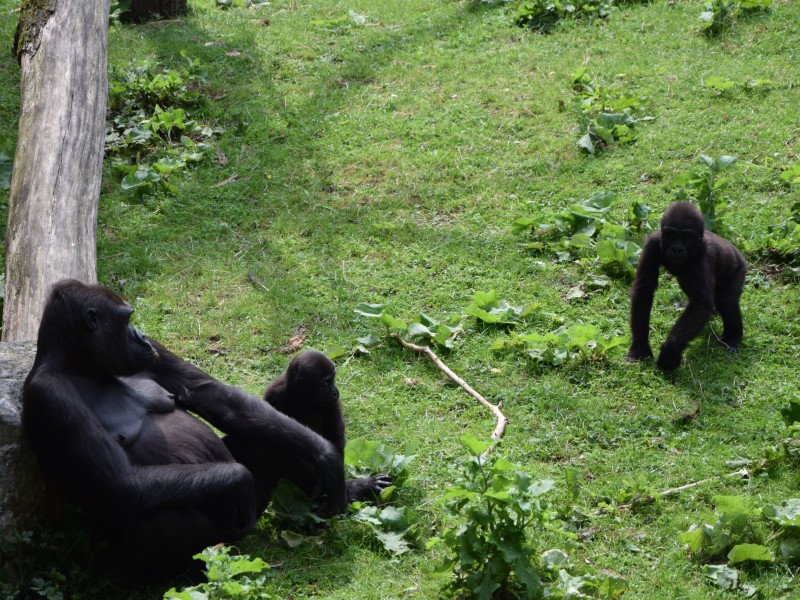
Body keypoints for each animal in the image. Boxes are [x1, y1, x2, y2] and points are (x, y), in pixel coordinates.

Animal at [264, 350, 392, 504]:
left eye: (332, 380)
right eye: (325, 383)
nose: (335, 391)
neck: (300, 396)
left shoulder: (332, 403)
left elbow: (334, 442)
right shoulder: (273, 394)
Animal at [628, 202, 748, 370]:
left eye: (686, 237)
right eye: (671, 235)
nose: (677, 248)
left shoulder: (701, 258)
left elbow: (701, 304)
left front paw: (670, 352)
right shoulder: (652, 243)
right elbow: (643, 290)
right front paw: (640, 347)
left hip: (740, 269)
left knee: (726, 302)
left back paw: (733, 338)